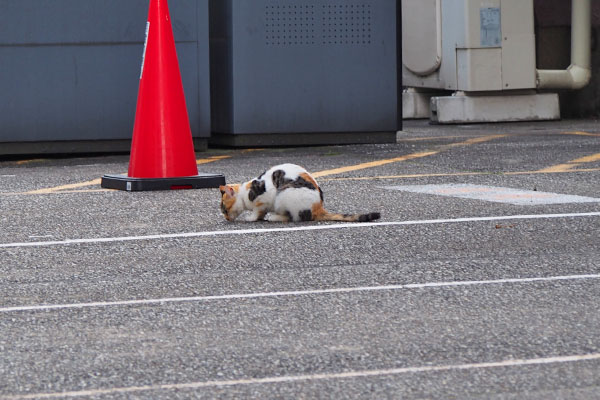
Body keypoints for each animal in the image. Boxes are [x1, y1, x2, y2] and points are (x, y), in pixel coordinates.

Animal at [219, 164, 380, 223]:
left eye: (225, 210)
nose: (226, 218)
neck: (246, 192)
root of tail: (319, 207)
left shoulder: (265, 198)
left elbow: (258, 211)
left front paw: (252, 217)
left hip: (284, 194)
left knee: (293, 217)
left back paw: (274, 217)